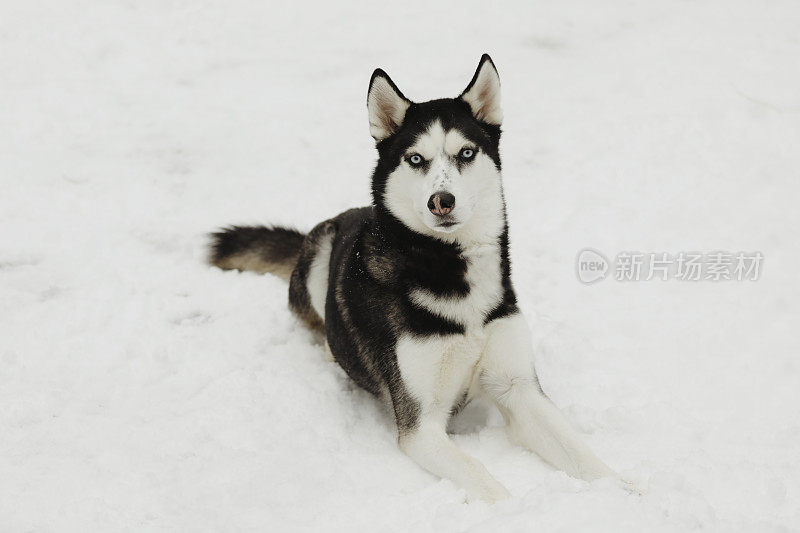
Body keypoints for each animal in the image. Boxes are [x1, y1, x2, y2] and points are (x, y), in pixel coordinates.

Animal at [208, 55, 620, 502]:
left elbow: (585, 455)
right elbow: (481, 477)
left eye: (466, 152)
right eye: (416, 159)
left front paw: (629, 492)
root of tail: (349, 214)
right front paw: (511, 508)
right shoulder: (420, 425)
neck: (452, 269)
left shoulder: (518, 388)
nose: (442, 201)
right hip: (321, 249)